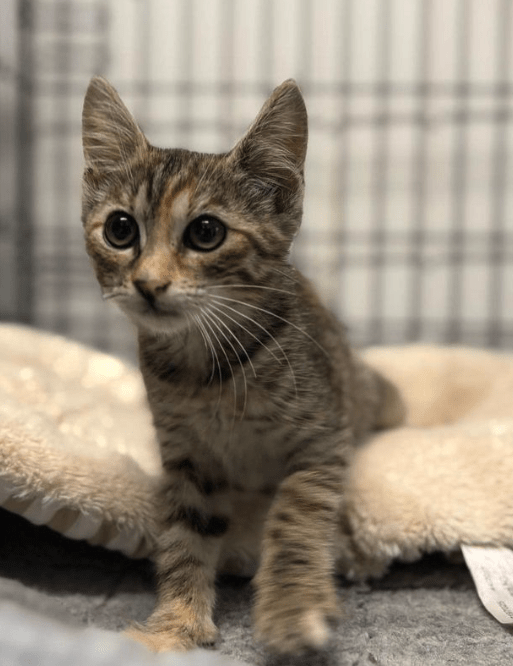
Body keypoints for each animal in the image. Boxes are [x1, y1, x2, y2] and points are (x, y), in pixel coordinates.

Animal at [82, 75, 404, 652]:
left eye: (206, 233)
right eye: (120, 229)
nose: (148, 284)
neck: (207, 372)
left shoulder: (321, 439)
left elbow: (296, 516)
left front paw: (292, 609)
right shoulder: (187, 456)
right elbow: (185, 535)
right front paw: (176, 624)